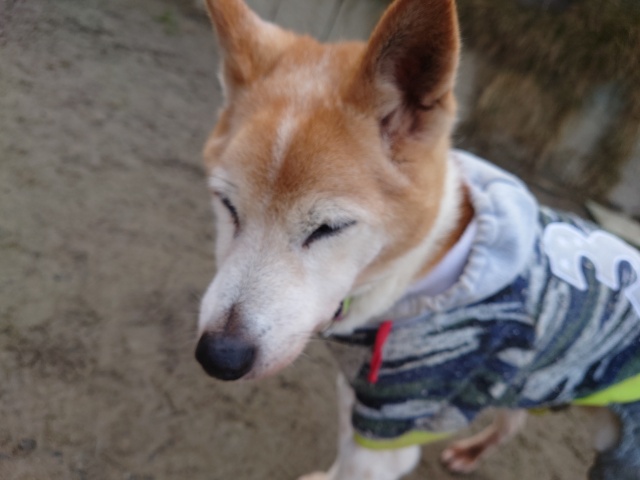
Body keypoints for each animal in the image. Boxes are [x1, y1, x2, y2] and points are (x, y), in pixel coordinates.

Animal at [194, 0, 640, 478]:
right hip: (533, 380)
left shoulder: (390, 428)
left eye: (329, 227)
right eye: (227, 205)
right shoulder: (358, 400)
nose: (220, 356)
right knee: (513, 419)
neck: (420, 273)